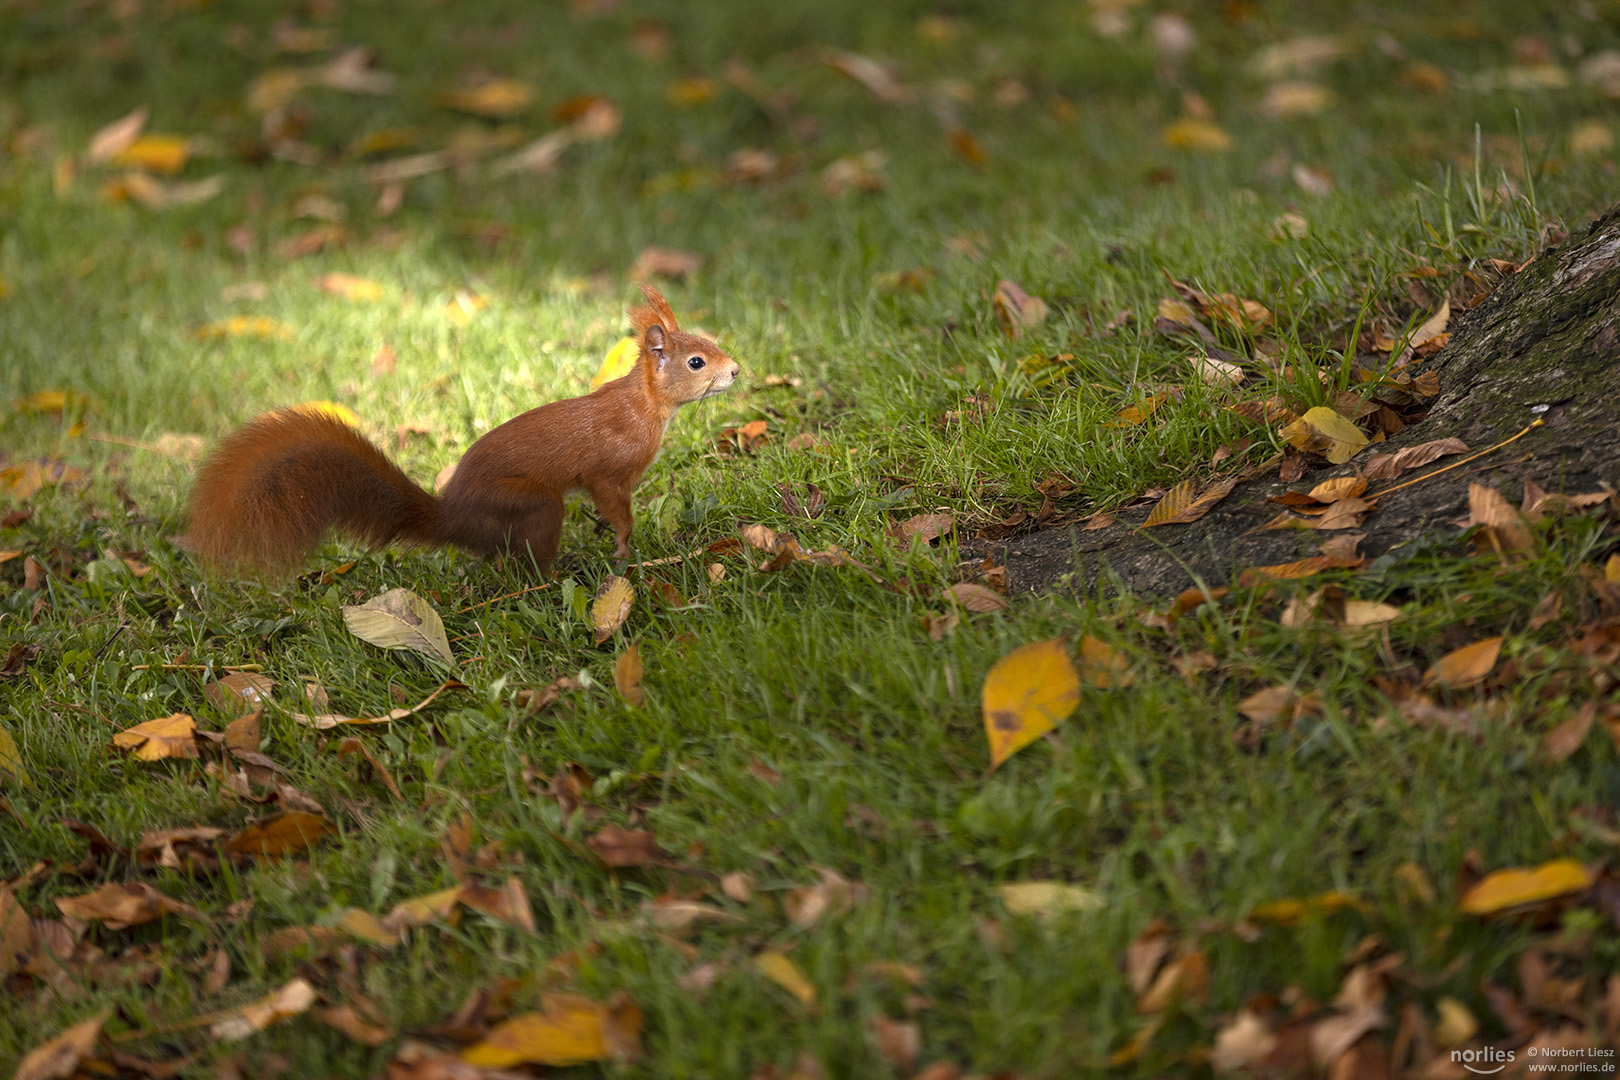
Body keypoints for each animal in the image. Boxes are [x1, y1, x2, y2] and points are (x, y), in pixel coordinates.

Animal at [187, 283, 741, 579]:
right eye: (695, 362)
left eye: (710, 344)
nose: (736, 371)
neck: (644, 404)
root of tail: (455, 518)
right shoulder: (607, 469)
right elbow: (613, 501)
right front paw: (624, 547)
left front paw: (612, 535)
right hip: (531, 505)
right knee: (525, 558)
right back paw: (555, 572)